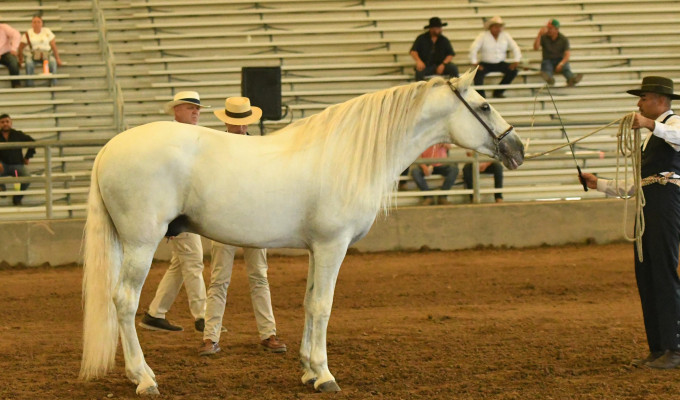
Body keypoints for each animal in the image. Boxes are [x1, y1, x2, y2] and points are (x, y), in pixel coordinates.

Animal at [79, 69, 524, 395]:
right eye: (485, 104)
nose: (517, 148)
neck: (347, 155)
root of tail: (108, 149)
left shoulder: (317, 249)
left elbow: (310, 304)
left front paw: (309, 370)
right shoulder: (332, 246)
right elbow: (323, 306)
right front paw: (325, 376)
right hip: (141, 243)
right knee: (124, 301)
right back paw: (144, 378)